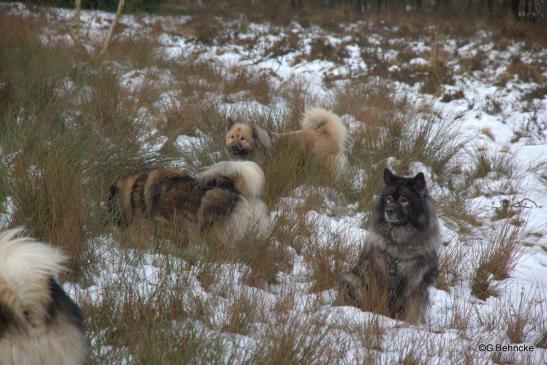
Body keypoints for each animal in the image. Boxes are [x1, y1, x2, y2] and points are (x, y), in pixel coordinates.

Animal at [340, 167, 444, 322]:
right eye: (388, 198)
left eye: (403, 200)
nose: (388, 211)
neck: (399, 243)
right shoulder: (379, 275)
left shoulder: (416, 285)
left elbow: (412, 312)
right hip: (351, 279)